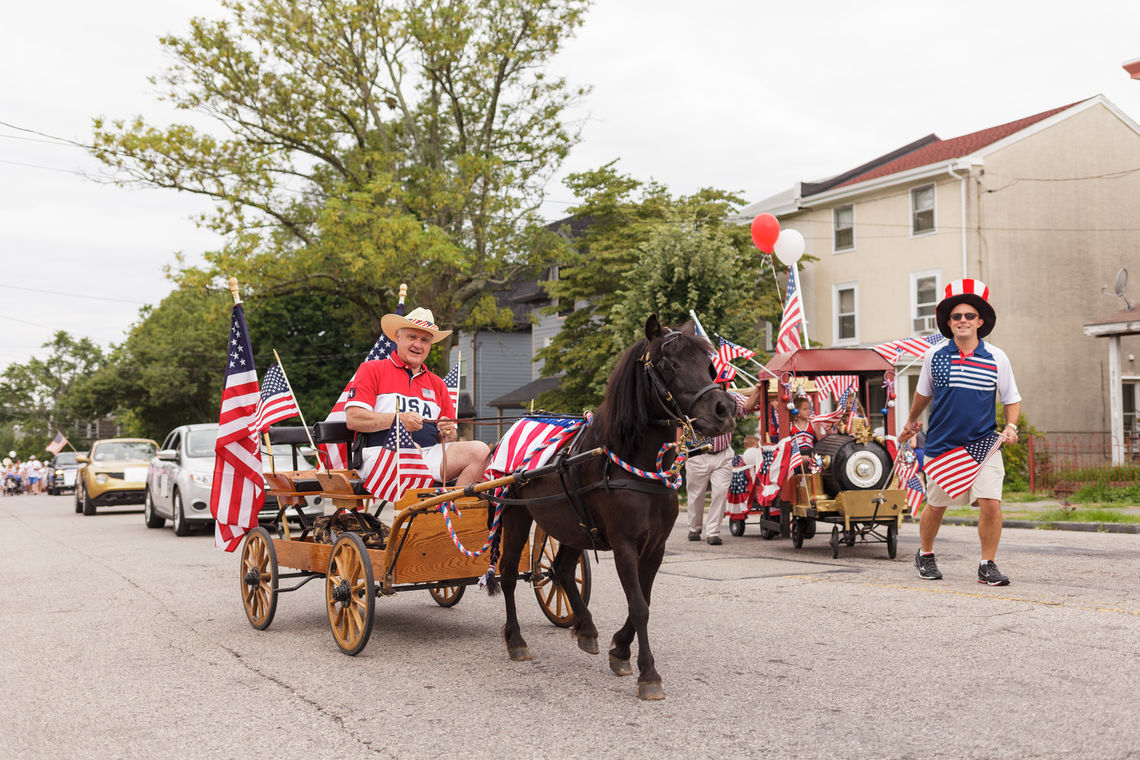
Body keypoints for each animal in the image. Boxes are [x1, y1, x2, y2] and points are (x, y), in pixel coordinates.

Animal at [501, 314, 738, 701]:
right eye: (670, 364)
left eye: (709, 365)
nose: (725, 410)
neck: (629, 462)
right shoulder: (625, 544)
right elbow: (638, 606)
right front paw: (648, 673)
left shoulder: (655, 546)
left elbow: (644, 600)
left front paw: (620, 650)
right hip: (516, 515)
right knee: (507, 574)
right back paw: (516, 640)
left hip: (573, 527)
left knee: (562, 570)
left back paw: (586, 628)